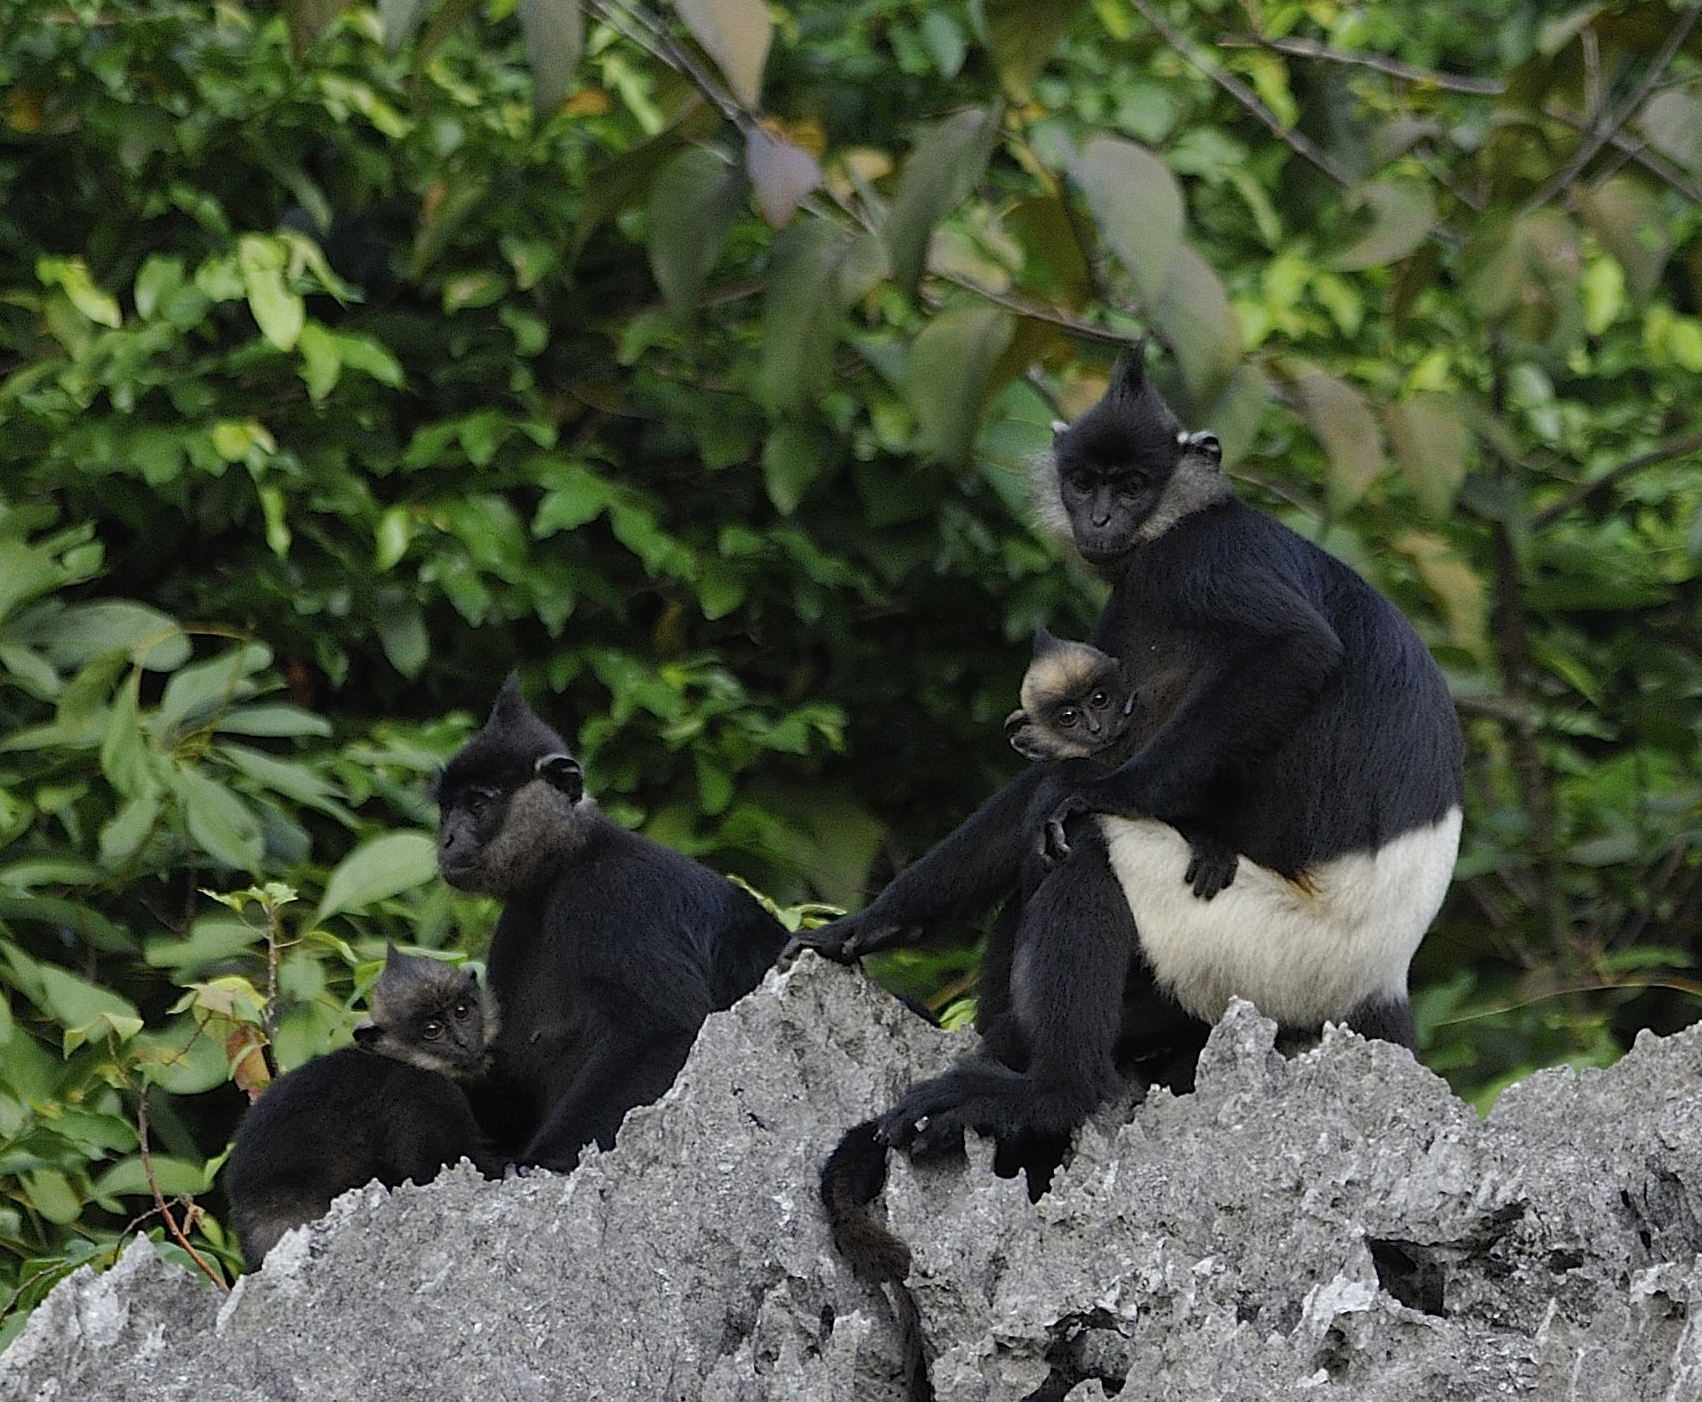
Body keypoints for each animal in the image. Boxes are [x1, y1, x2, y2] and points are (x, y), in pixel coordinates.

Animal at [435, 680, 786, 1170]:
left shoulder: (613, 895)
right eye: (446, 809)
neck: (566, 864)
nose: (446, 839)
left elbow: (663, 1031)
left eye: (476, 806)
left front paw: (537, 1163)